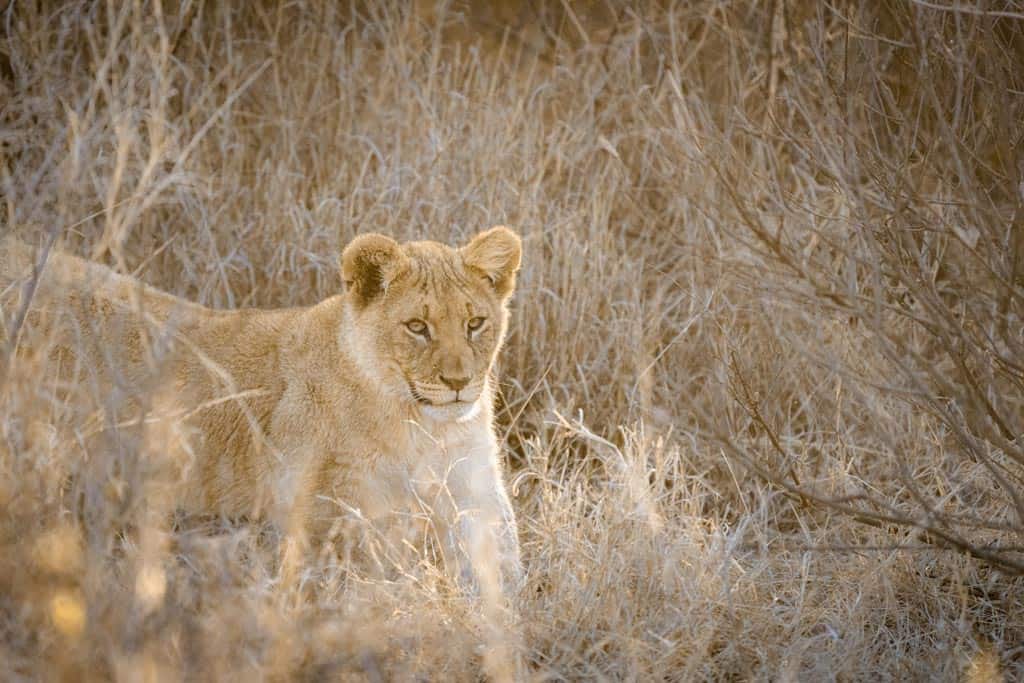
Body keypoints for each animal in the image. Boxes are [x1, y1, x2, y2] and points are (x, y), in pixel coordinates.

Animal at [0, 228, 524, 593]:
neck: (423, 426)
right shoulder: (333, 513)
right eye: (417, 327)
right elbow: (374, 581)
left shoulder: (474, 486)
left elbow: (502, 568)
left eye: (475, 323)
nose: (458, 383)